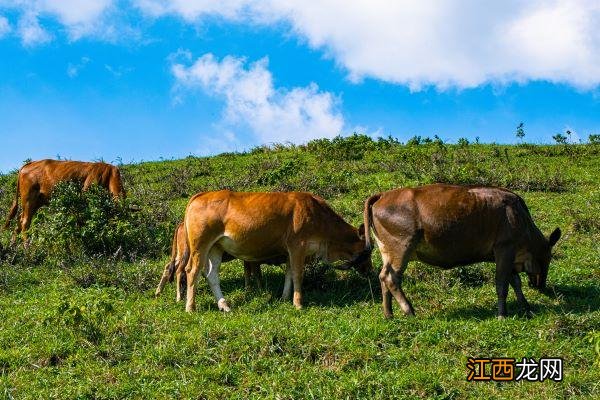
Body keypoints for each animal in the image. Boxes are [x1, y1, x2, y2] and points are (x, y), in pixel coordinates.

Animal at [154, 220, 288, 302]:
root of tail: (182, 224)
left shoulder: (247, 260)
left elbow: (247, 273)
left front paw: (248, 289)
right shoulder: (253, 261)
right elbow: (257, 275)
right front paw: (260, 290)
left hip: (180, 255)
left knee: (169, 267)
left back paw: (158, 292)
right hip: (186, 255)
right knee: (179, 271)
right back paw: (179, 296)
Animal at [183, 190, 370, 312]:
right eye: (367, 252)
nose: (370, 270)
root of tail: (202, 195)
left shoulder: (289, 252)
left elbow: (289, 274)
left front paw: (285, 297)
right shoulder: (298, 246)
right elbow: (297, 275)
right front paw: (298, 303)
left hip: (216, 247)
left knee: (212, 275)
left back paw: (224, 305)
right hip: (200, 245)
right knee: (192, 271)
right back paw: (191, 307)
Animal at [360, 184, 564, 318]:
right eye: (548, 258)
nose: (541, 285)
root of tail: (382, 195)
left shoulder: (510, 256)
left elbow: (515, 282)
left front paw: (526, 306)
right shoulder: (505, 248)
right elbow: (502, 284)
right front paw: (502, 314)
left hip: (387, 251)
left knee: (383, 277)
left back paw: (389, 314)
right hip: (402, 247)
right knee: (391, 278)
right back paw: (409, 310)